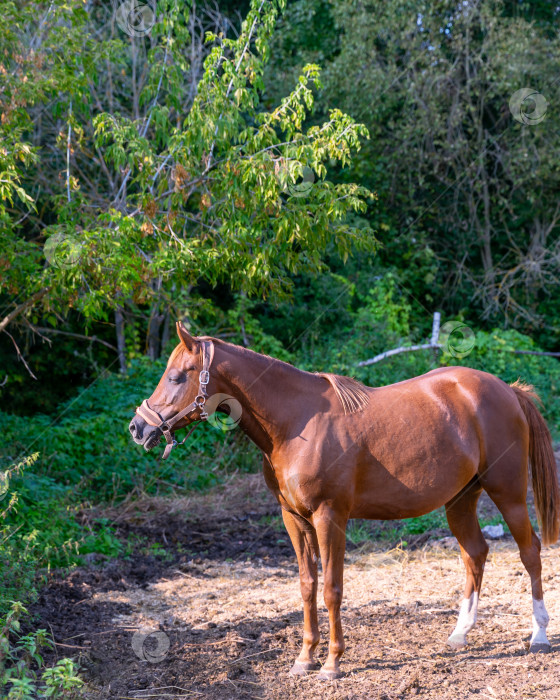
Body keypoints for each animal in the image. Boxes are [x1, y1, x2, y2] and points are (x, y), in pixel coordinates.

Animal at [129, 326, 556, 680]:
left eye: (178, 376)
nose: (138, 427)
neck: (295, 423)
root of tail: (508, 391)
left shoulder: (329, 516)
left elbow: (332, 587)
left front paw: (332, 663)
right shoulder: (293, 519)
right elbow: (307, 586)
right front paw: (304, 659)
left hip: (508, 494)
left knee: (530, 552)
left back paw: (539, 635)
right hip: (460, 500)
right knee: (475, 554)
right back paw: (460, 634)